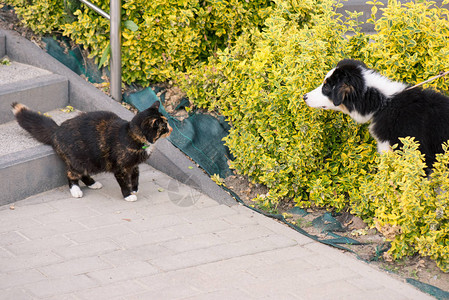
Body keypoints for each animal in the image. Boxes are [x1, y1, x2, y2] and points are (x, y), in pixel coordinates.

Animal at [12, 101, 171, 202]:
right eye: (163, 126)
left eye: (167, 123)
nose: (170, 129)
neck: (132, 135)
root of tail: (56, 130)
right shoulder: (120, 168)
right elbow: (124, 182)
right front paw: (128, 195)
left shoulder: (134, 165)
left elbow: (135, 176)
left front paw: (135, 188)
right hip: (80, 160)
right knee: (71, 174)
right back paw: (76, 191)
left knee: (83, 174)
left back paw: (93, 184)